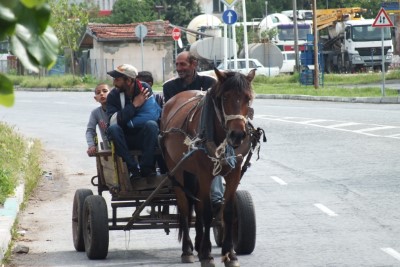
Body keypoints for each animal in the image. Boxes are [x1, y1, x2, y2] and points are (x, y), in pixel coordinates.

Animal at [159, 69, 256, 267]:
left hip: (193, 173)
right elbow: (207, 211)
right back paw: (188, 250)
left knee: (196, 203)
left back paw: (198, 244)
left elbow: (227, 210)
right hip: (177, 169)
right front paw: (207, 255)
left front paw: (230, 254)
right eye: (225, 97)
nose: (237, 134)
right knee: (185, 205)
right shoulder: (204, 174)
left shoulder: (234, 173)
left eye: (248, 98)